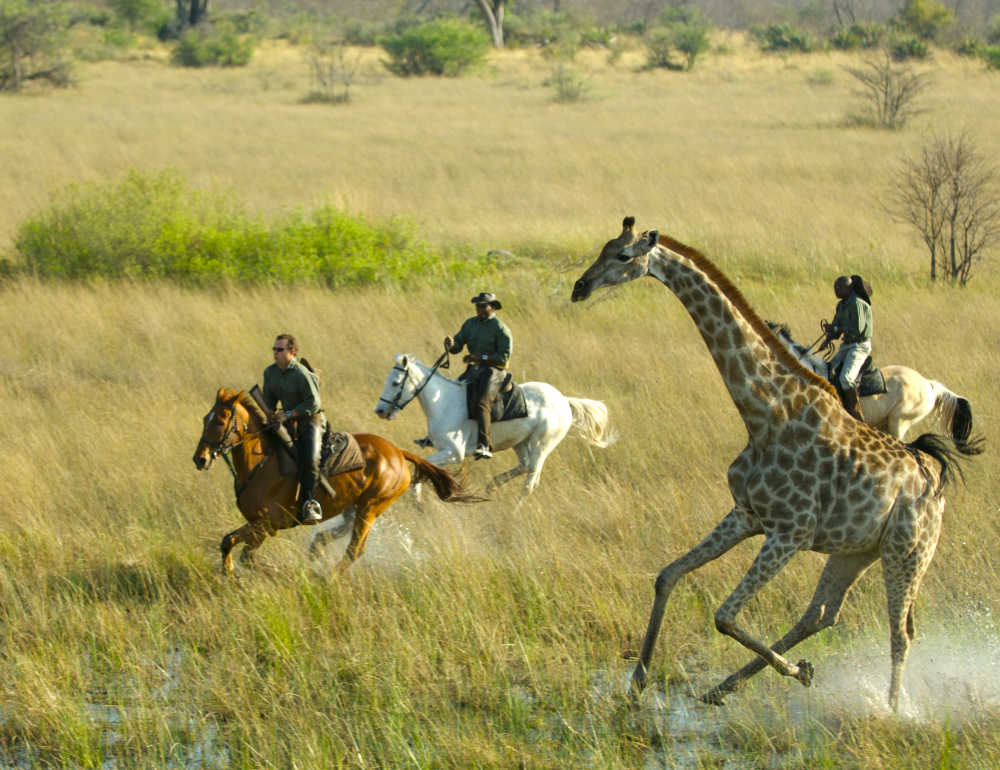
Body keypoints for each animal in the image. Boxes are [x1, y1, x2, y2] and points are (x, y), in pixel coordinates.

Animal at [197, 388, 478, 572]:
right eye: (204, 419)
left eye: (221, 421)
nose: (200, 459)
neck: (261, 463)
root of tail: (398, 452)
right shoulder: (260, 528)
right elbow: (245, 554)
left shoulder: (267, 524)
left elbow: (230, 542)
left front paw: (235, 573)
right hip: (354, 507)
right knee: (337, 536)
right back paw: (315, 553)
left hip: (370, 507)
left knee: (355, 549)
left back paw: (326, 577)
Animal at [372, 352, 612, 492]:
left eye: (395, 383)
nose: (380, 411)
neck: (442, 402)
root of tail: (564, 400)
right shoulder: (444, 452)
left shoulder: (454, 453)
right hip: (520, 442)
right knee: (524, 467)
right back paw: (492, 486)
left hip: (542, 445)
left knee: (530, 481)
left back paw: (515, 512)